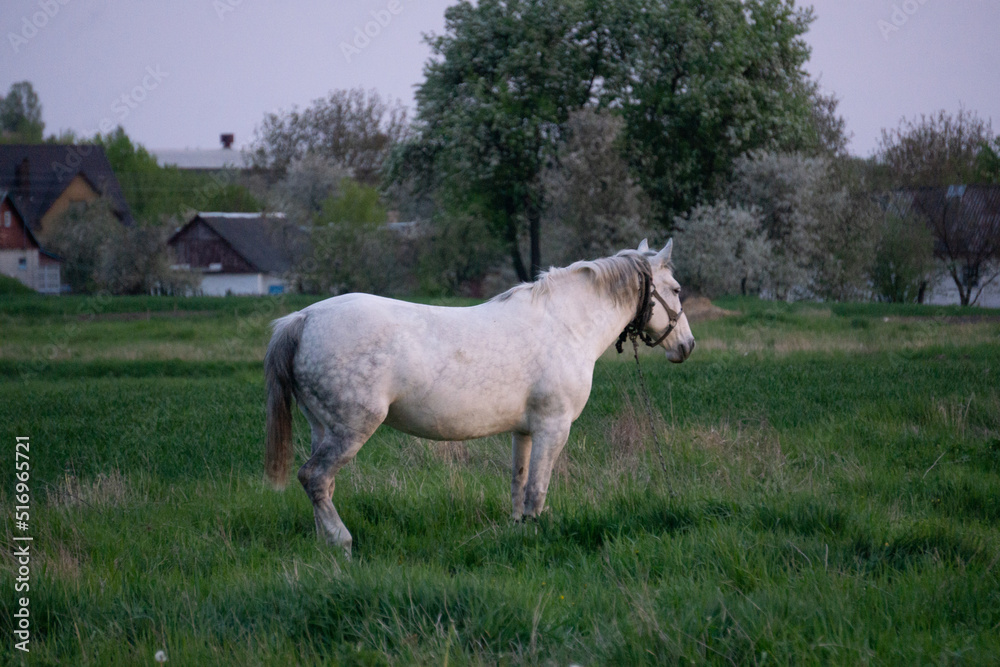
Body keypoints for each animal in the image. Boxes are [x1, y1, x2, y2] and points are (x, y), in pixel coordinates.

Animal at [264, 239, 695, 555]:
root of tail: (303, 319)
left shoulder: (524, 432)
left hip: (323, 428)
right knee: (315, 478)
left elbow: (518, 486)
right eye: (676, 290)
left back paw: (324, 545)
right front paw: (536, 536)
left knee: (323, 485)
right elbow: (537, 490)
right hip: (351, 430)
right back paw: (342, 543)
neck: (566, 324)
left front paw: (519, 532)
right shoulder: (553, 428)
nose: (687, 345)